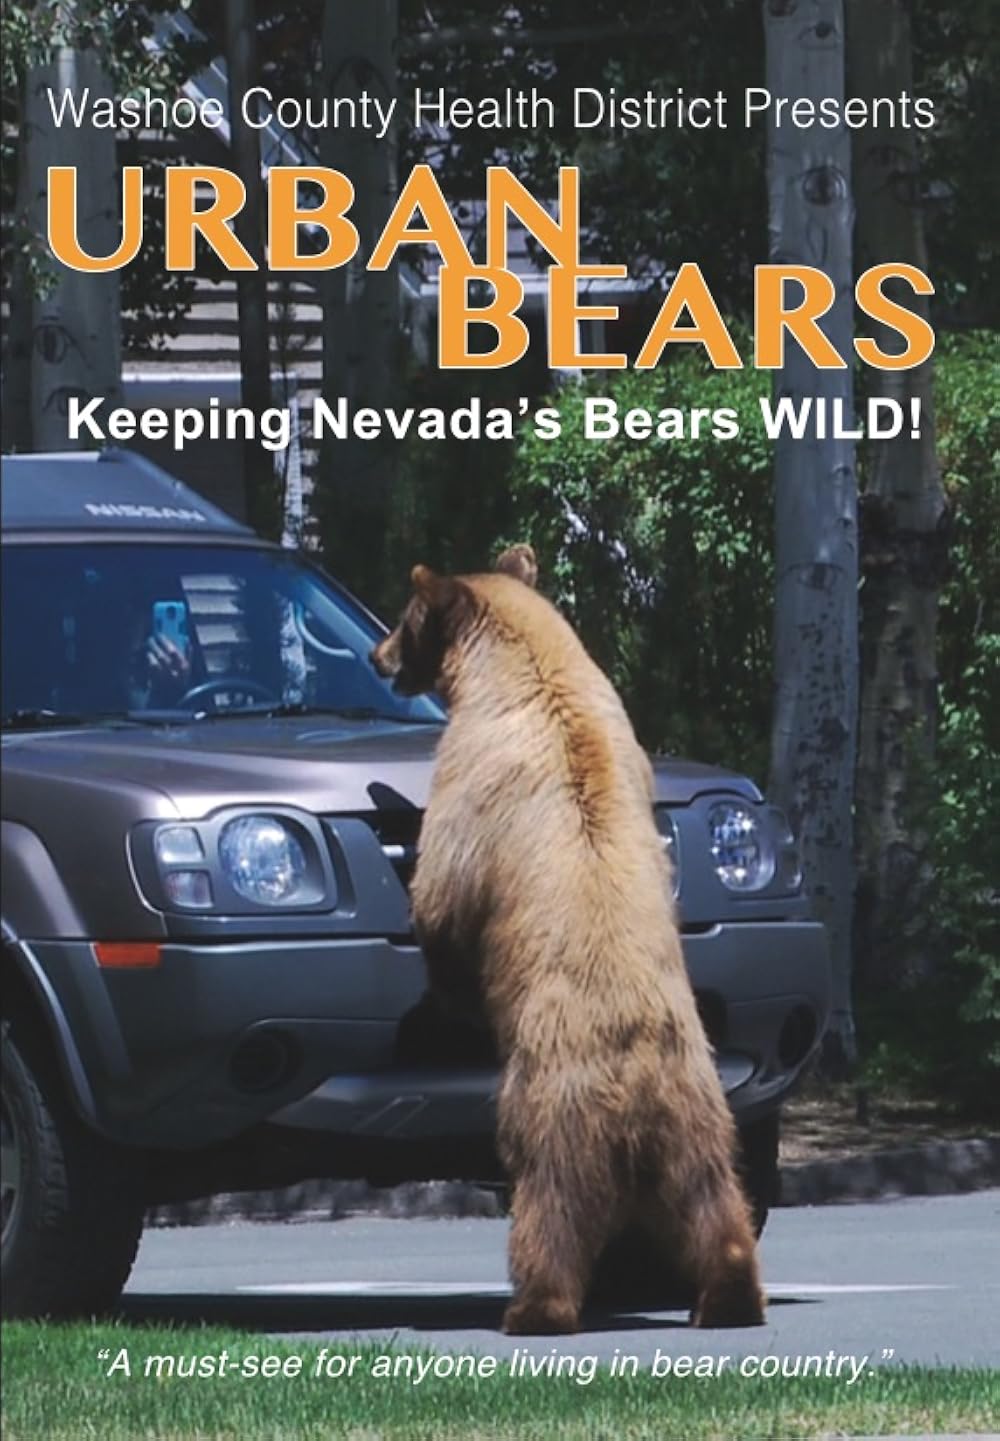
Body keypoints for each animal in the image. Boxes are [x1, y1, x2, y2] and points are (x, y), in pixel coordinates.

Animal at [371, 545, 765, 1335]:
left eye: (405, 617)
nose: (379, 655)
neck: (525, 668)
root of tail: (635, 1084)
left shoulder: (471, 777)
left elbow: (445, 896)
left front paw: (440, 963)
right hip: (701, 1115)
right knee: (715, 1199)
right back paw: (732, 1294)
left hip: (547, 1104)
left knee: (545, 1203)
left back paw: (533, 1307)